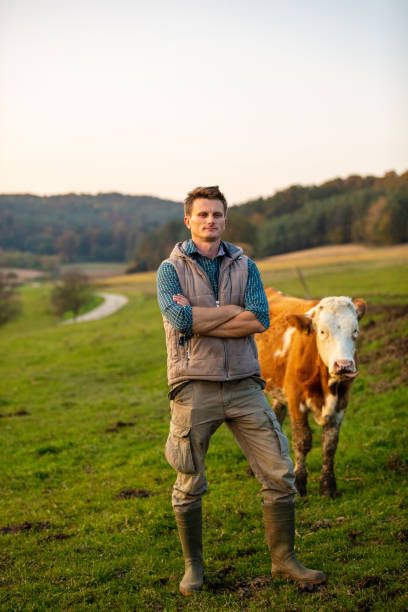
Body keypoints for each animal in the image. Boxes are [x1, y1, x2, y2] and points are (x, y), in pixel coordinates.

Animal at [255, 288, 366, 498]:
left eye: (355, 331)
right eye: (322, 331)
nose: (344, 366)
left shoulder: (341, 403)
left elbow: (329, 445)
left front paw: (328, 486)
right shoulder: (296, 401)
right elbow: (302, 441)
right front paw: (299, 484)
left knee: (277, 415)